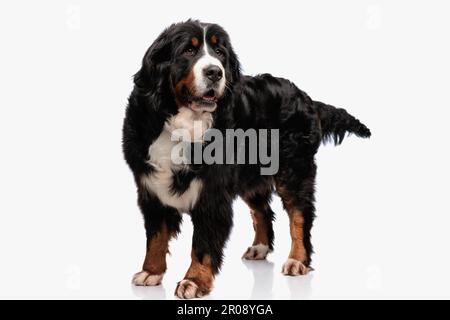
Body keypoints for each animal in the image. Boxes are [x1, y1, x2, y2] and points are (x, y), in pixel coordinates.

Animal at [122, 20, 370, 298]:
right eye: (188, 50)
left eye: (220, 53)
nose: (215, 73)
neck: (185, 124)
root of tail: (305, 97)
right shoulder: (151, 187)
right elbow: (155, 236)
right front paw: (151, 272)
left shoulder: (212, 193)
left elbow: (203, 243)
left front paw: (194, 280)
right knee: (263, 211)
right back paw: (260, 248)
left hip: (293, 171)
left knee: (300, 214)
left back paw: (297, 259)